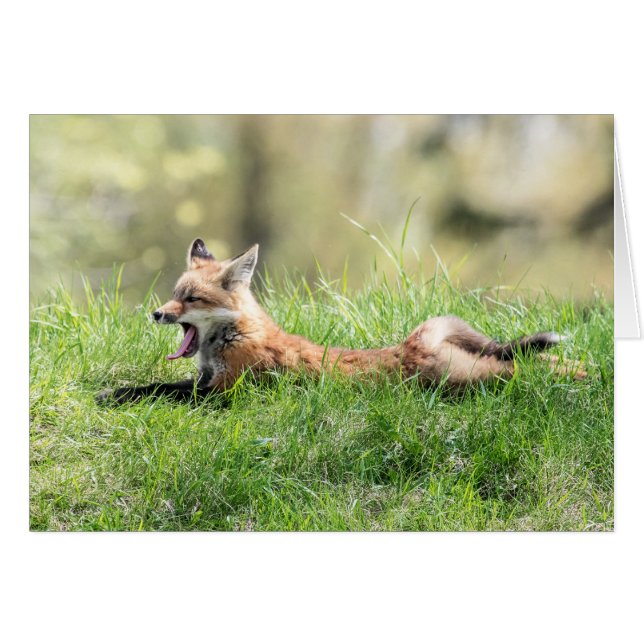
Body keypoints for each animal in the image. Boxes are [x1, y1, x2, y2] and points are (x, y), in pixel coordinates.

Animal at [97, 238, 586, 404]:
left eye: (191, 299)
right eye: (173, 295)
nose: (156, 313)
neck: (234, 337)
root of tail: (410, 345)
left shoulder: (223, 393)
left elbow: (159, 392)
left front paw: (115, 396)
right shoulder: (203, 382)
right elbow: (153, 384)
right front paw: (113, 391)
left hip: (468, 379)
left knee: (521, 367)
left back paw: (581, 374)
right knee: (526, 360)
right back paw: (583, 371)